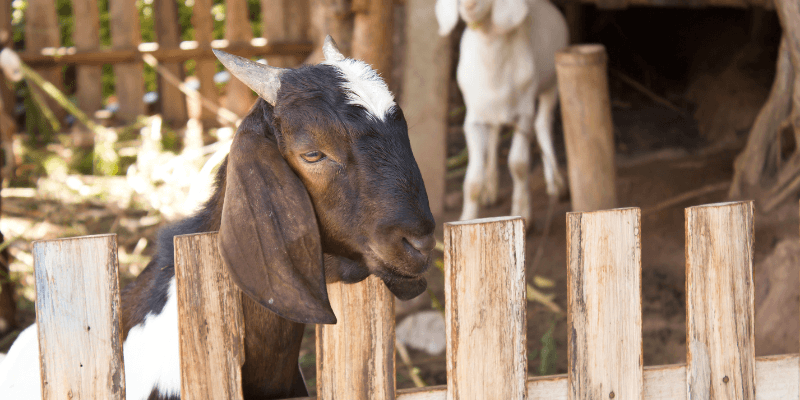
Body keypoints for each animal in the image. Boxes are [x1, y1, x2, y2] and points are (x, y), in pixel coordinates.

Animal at [438, 0, 568, 225]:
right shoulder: (473, 119)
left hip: (552, 86)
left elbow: (518, 164)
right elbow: (472, 178)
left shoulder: (524, 114)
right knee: (494, 134)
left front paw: (523, 212)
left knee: (543, 124)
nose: (468, 4)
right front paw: (467, 218)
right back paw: (490, 190)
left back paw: (555, 184)